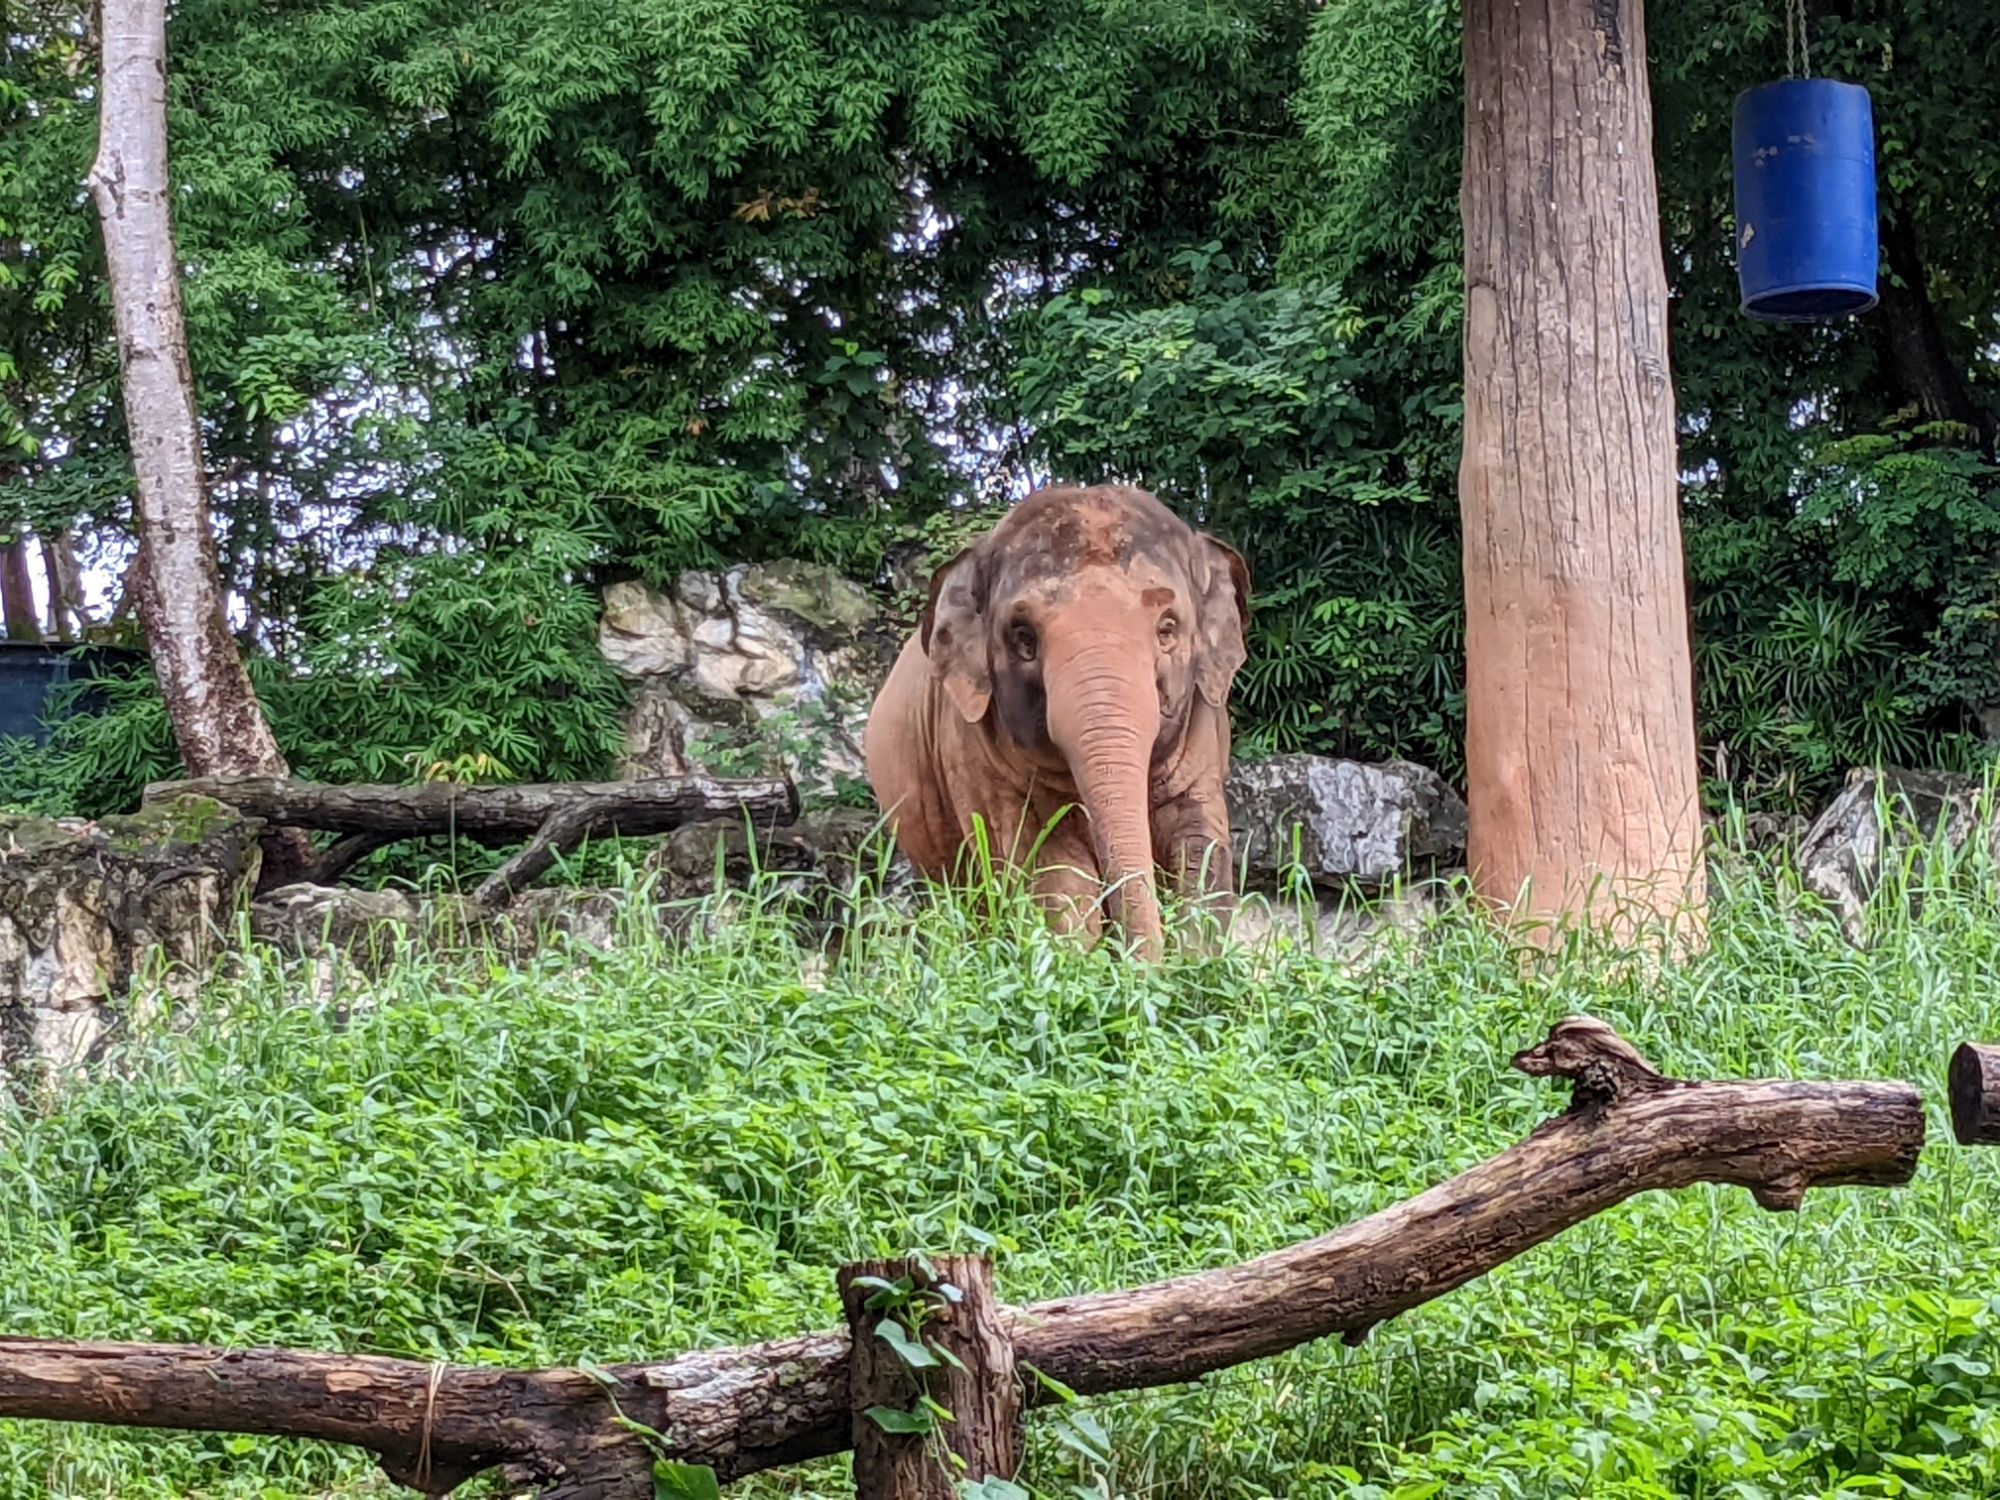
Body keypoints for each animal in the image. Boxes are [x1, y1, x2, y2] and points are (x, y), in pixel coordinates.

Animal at [864, 488, 1248, 968]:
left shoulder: (1203, 727)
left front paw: (1196, 965)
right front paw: (1080, 966)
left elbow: (1198, 843)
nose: (1142, 968)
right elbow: (1050, 867)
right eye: (1023, 637)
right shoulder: (971, 748)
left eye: (1167, 629)